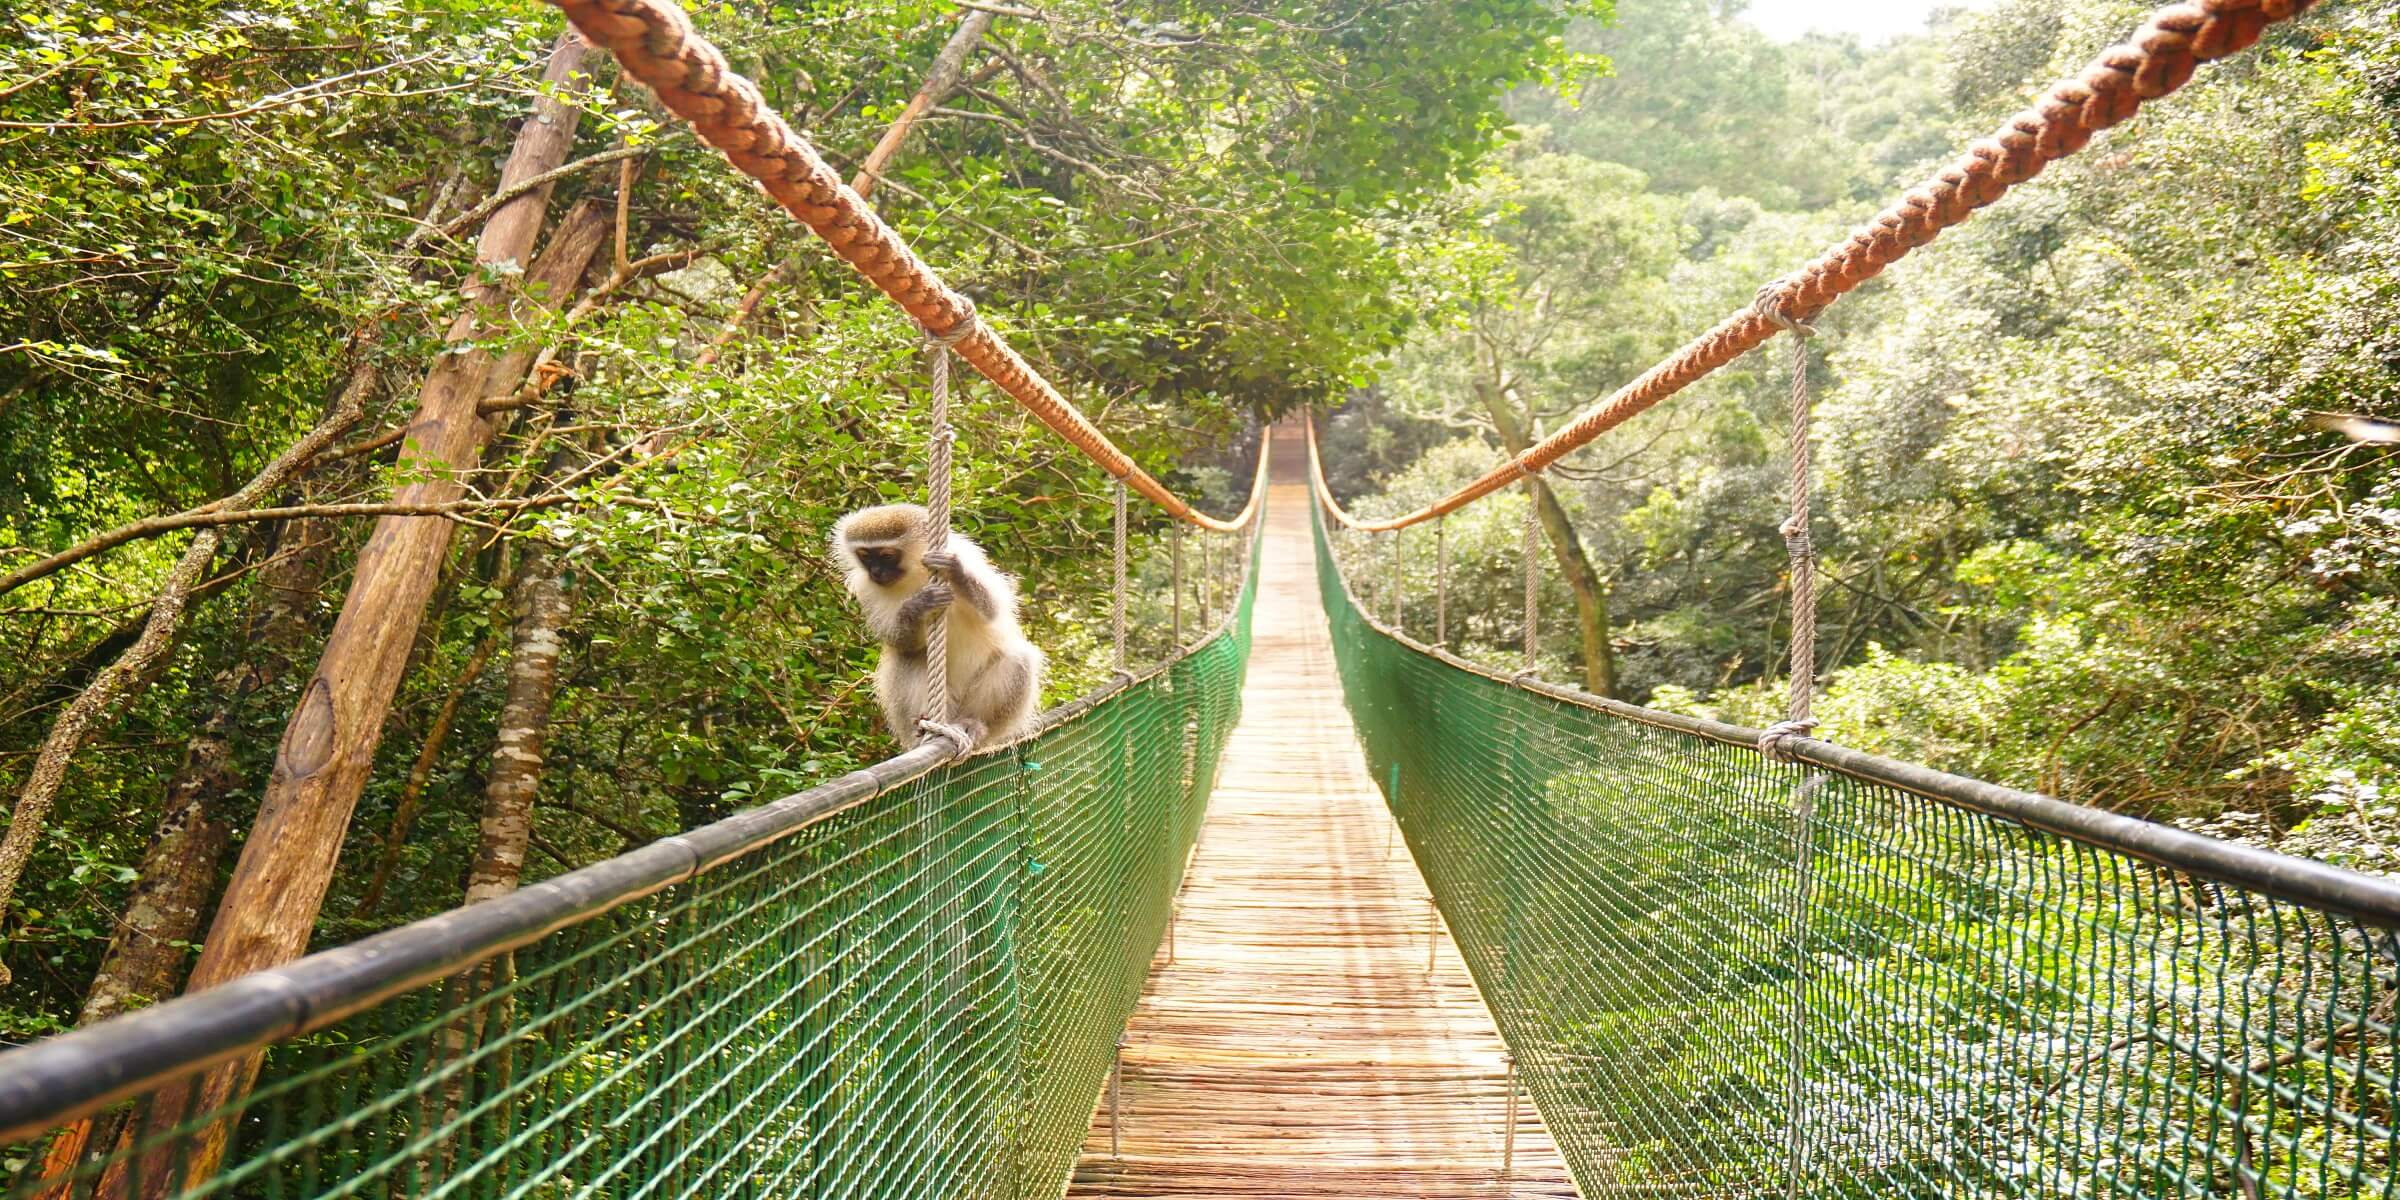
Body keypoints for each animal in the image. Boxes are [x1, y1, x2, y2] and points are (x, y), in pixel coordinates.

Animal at [835, 504, 1041, 748]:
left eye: (887, 555)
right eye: (865, 556)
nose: (875, 572)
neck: (915, 572)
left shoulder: (966, 554)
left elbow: (993, 608)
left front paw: (954, 569)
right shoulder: (866, 588)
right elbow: (897, 640)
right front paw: (918, 605)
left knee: (1018, 658)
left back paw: (974, 724)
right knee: (909, 657)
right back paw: (923, 725)